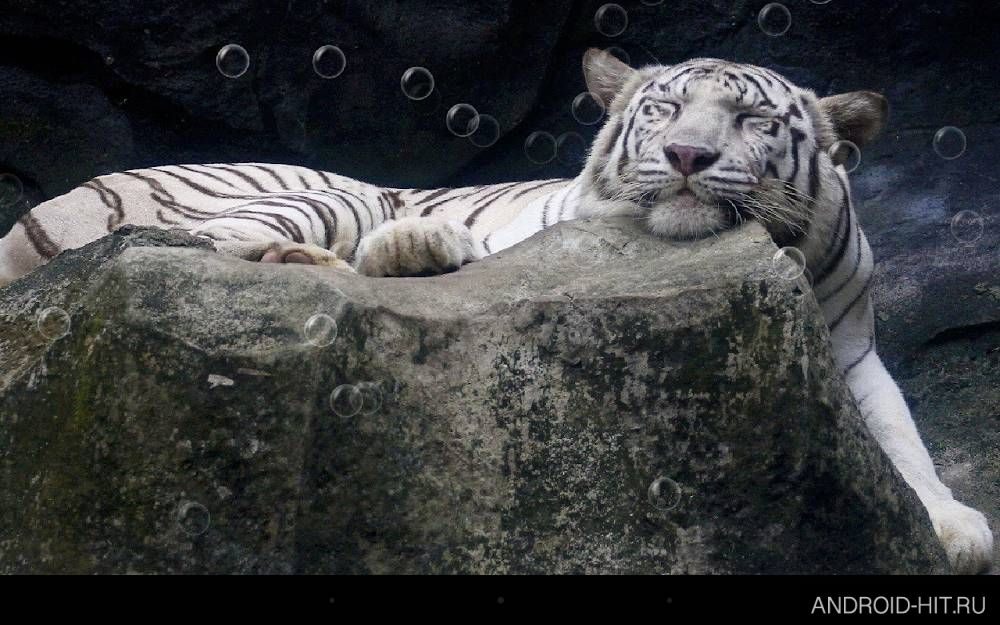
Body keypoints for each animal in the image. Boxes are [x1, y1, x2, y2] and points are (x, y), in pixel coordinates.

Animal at [0, 49, 992, 574]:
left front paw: (953, 527)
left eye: (751, 121)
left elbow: (903, 441)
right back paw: (389, 249)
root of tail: (46, 209)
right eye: (666, 108)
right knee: (225, 246)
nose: (687, 156)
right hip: (314, 190)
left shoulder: (851, 347)